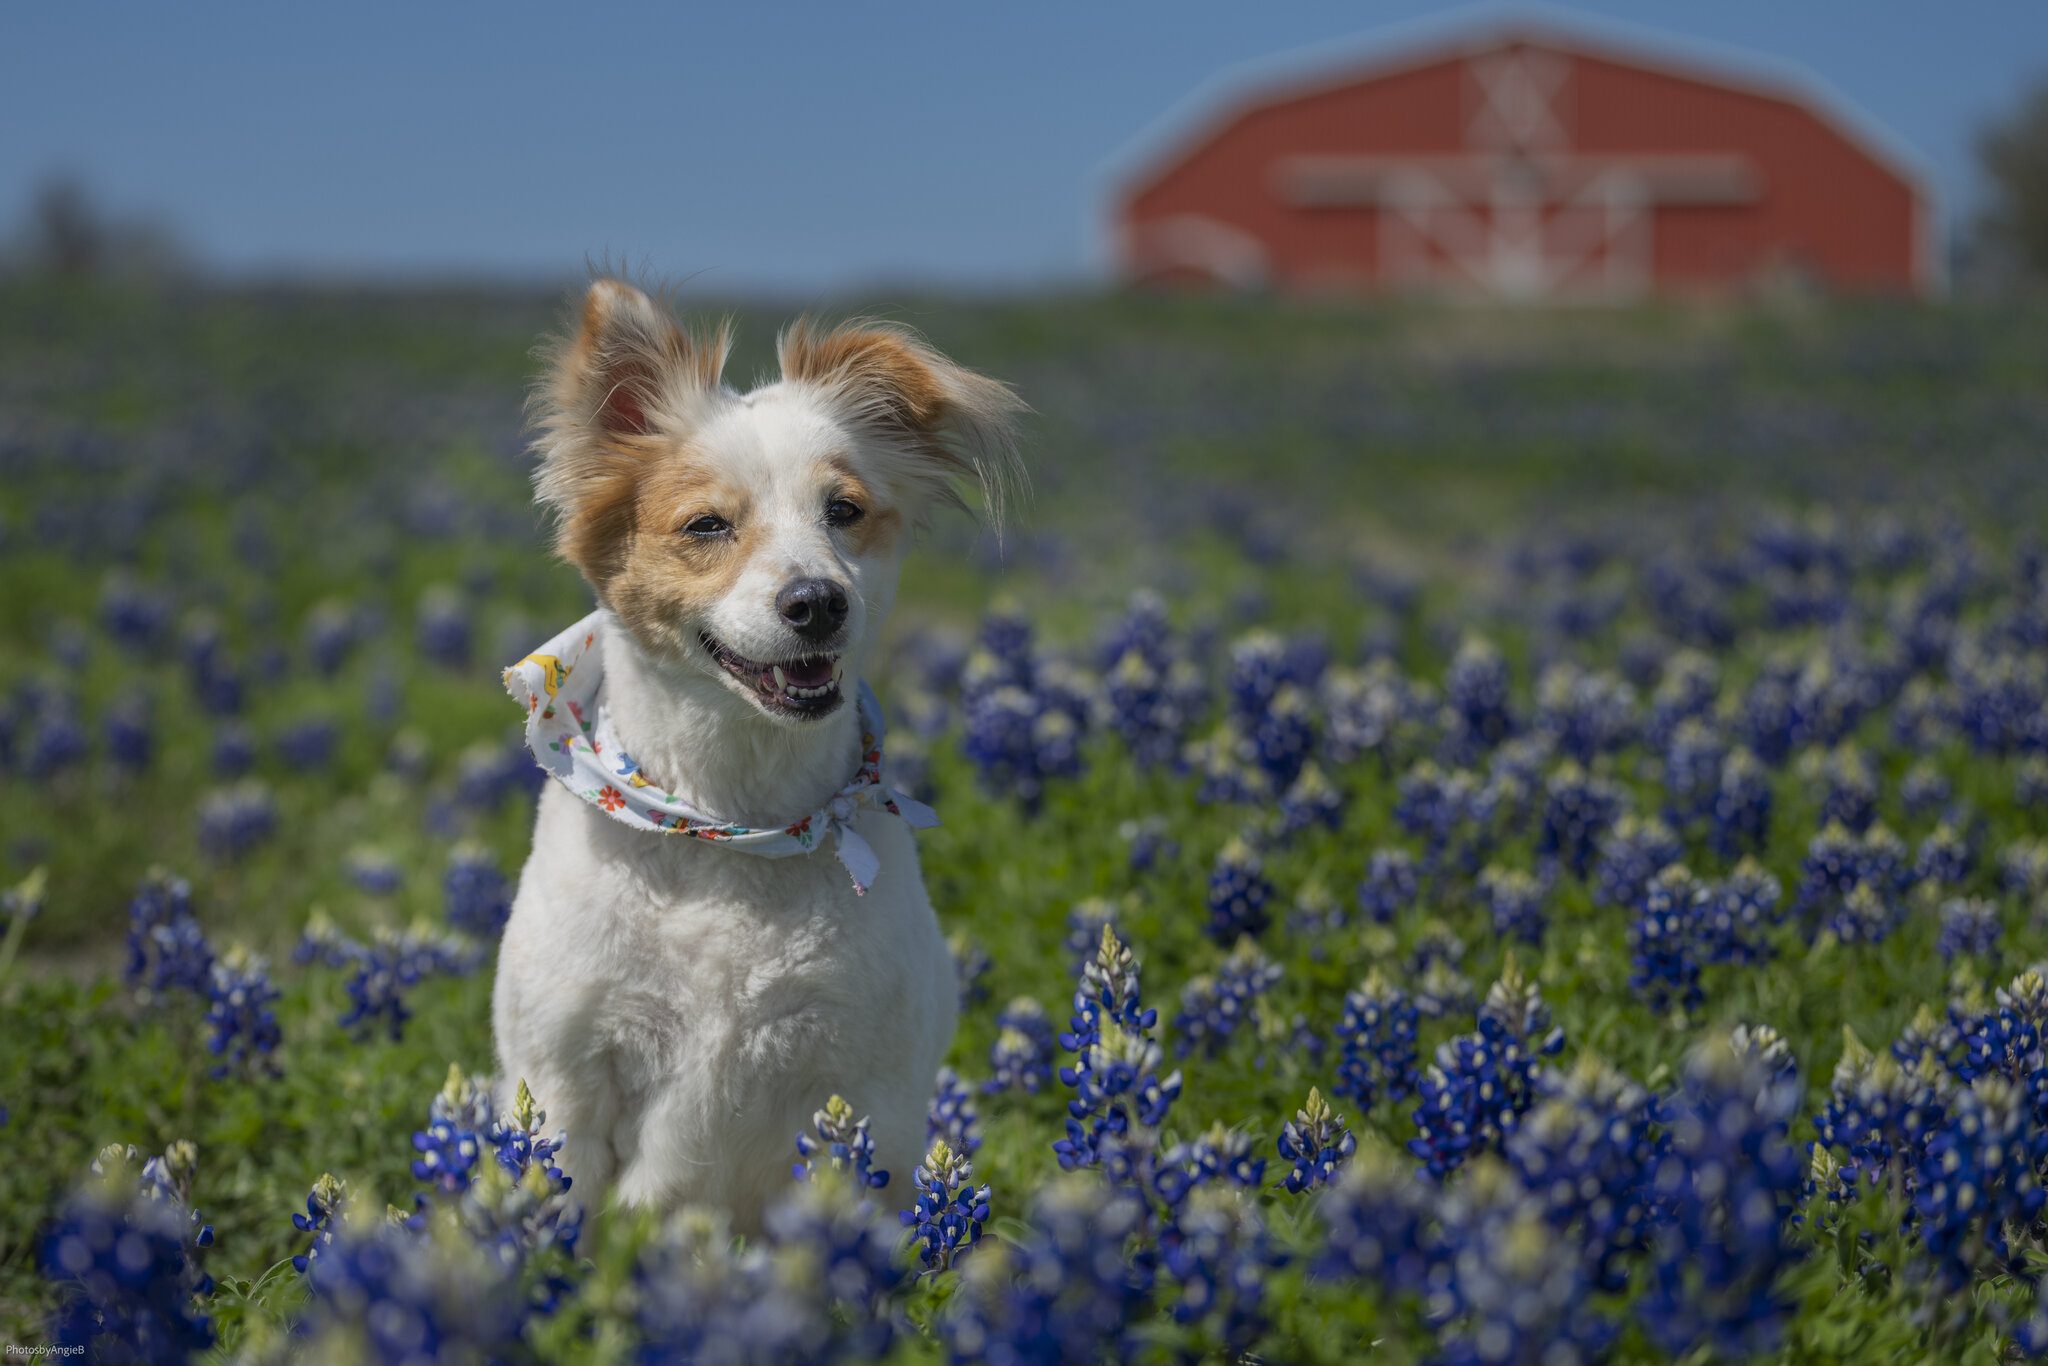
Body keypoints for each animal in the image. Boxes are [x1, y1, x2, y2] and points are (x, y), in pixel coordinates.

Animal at [495, 272, 1024, 1220]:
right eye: (707, 525)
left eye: (844, 511)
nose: (817, 601)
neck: (731, 821)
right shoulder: (562, 1080)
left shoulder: (868, 1091)